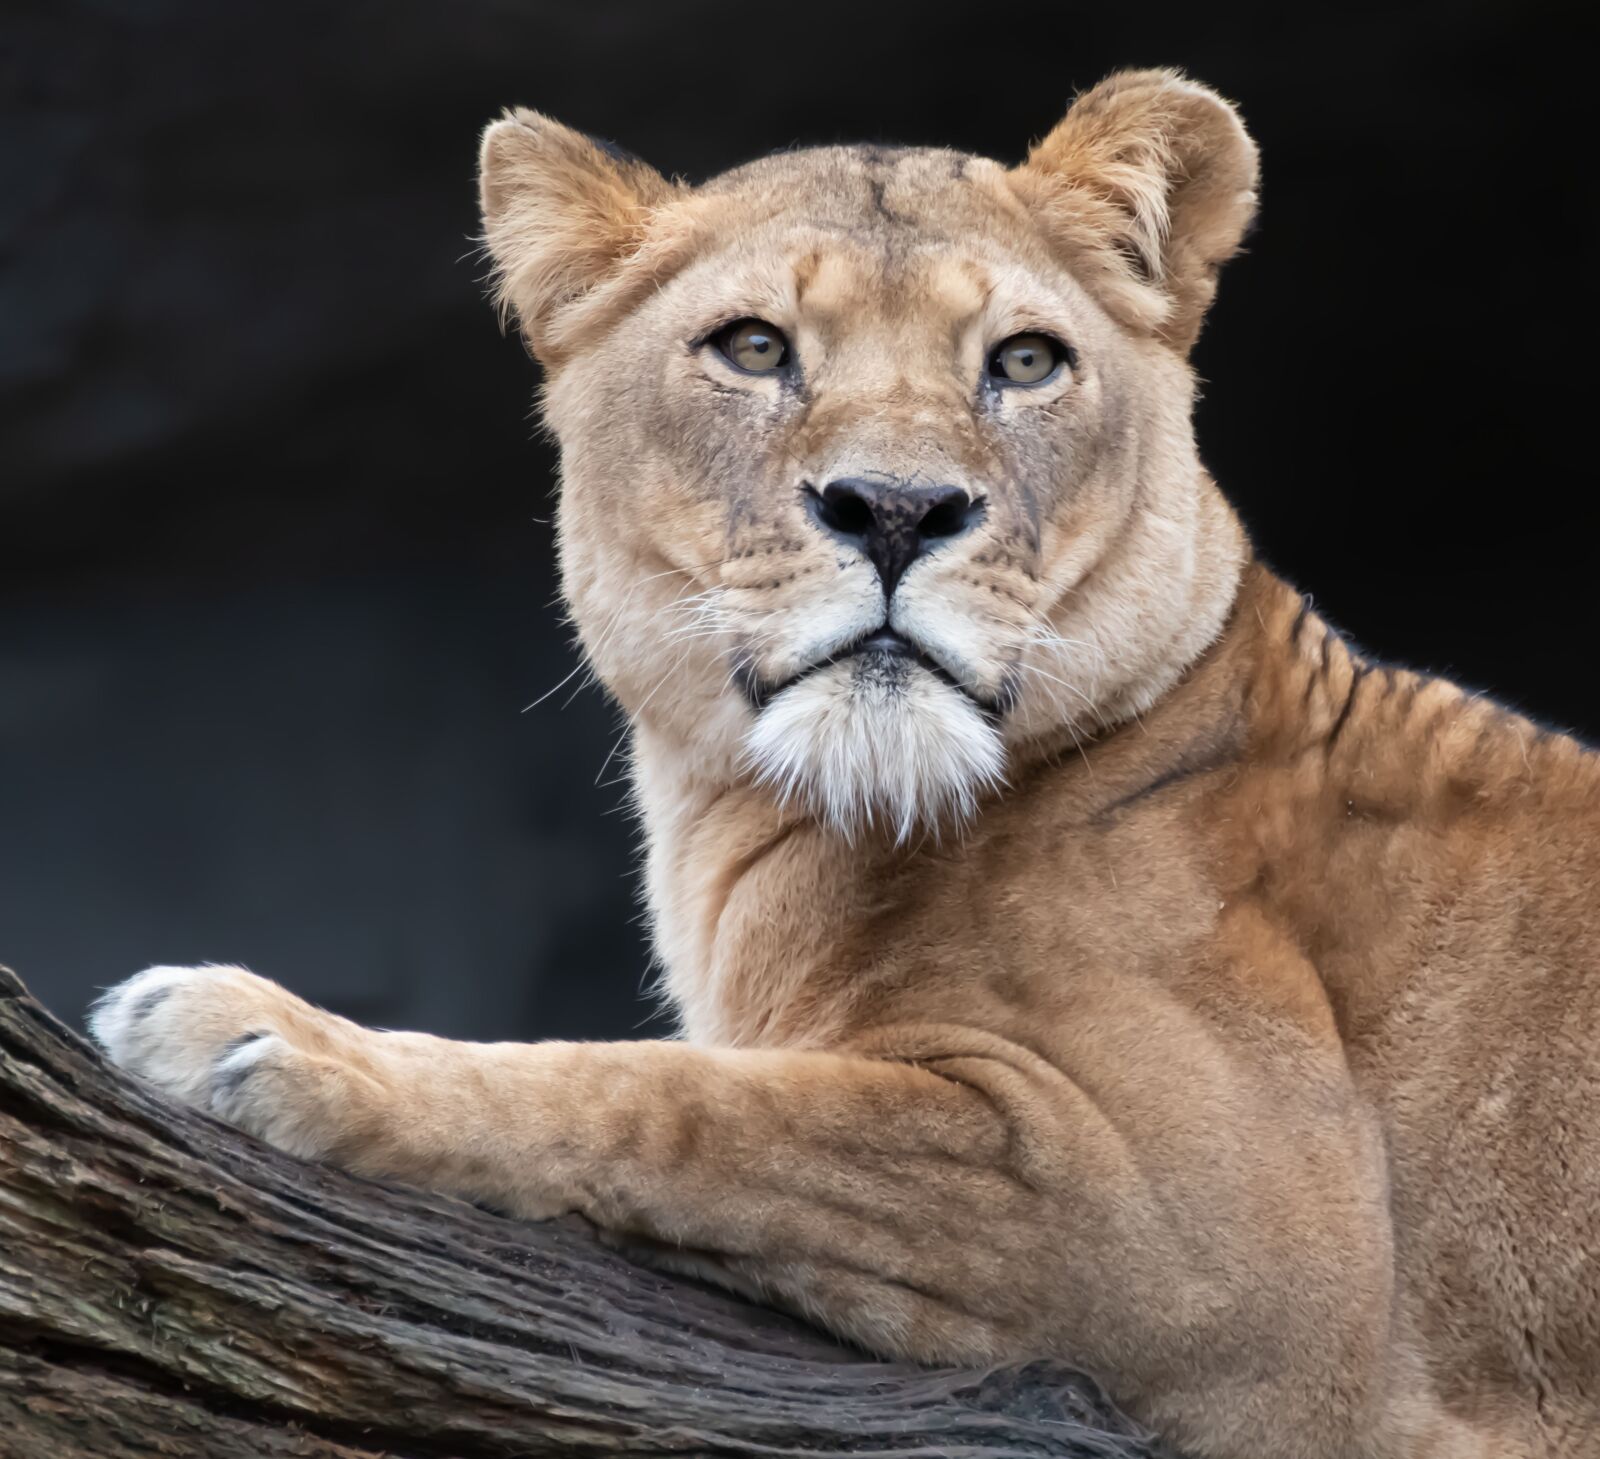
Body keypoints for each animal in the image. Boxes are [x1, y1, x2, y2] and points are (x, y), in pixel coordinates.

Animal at [90, 69, 1600, 1458]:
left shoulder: (1233, 1241)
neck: (782, 829)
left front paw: (259, 1036)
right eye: (755, 347)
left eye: (1025, 362)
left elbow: (689, 1102)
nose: (895, 508)